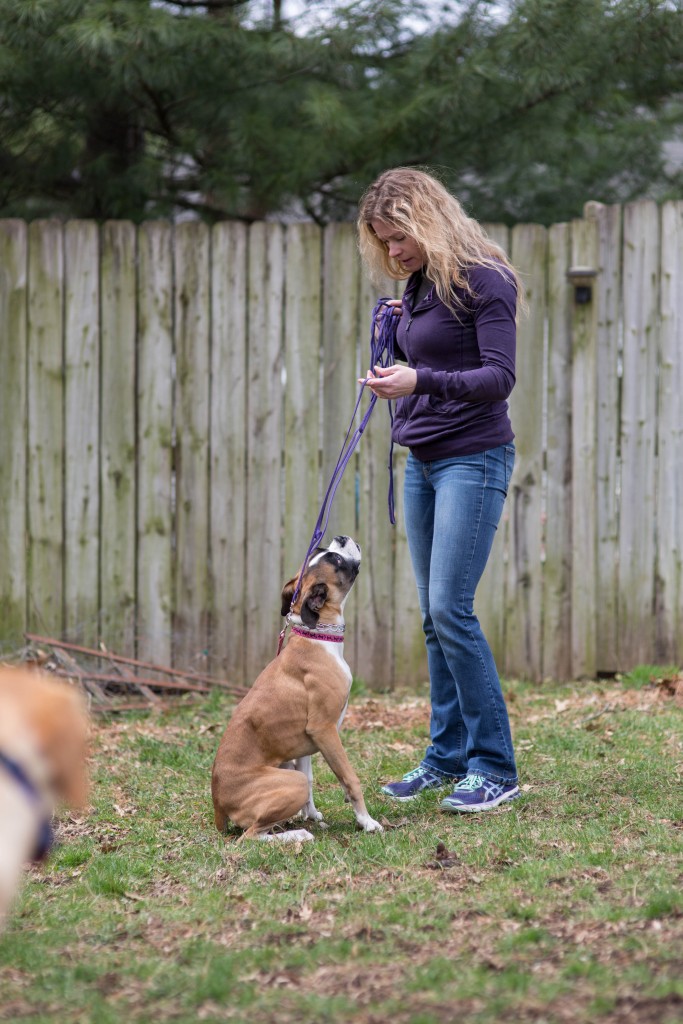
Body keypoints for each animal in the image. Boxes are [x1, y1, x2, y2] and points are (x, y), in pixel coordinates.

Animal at [211, 536, 385, 839]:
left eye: (321, 551)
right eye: (335, 560)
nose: (340, 538)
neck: (317, 636)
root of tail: (218, 801)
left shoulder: (306, 741)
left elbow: (312, 776)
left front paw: (311, 814)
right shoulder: (324, 730)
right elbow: (349, 779)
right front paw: (366, 821)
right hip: (291, 782)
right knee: (249, 837)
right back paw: (296, 835)